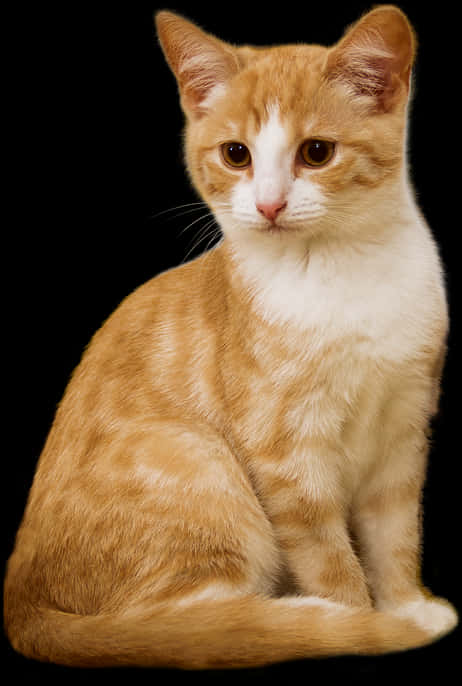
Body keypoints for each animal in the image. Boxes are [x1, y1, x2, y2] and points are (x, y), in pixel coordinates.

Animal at [3, 5, 458, 672]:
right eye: (236, 154)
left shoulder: (403, 428)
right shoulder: (286, 454)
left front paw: (405, 603)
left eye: (316, 152)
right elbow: (329, 558)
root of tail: (22, 600)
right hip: (196, 462)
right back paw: (288, 614)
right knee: (180, 627)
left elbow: (395, 533)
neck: (340, 272)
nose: (268, 205)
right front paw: (361, 620)